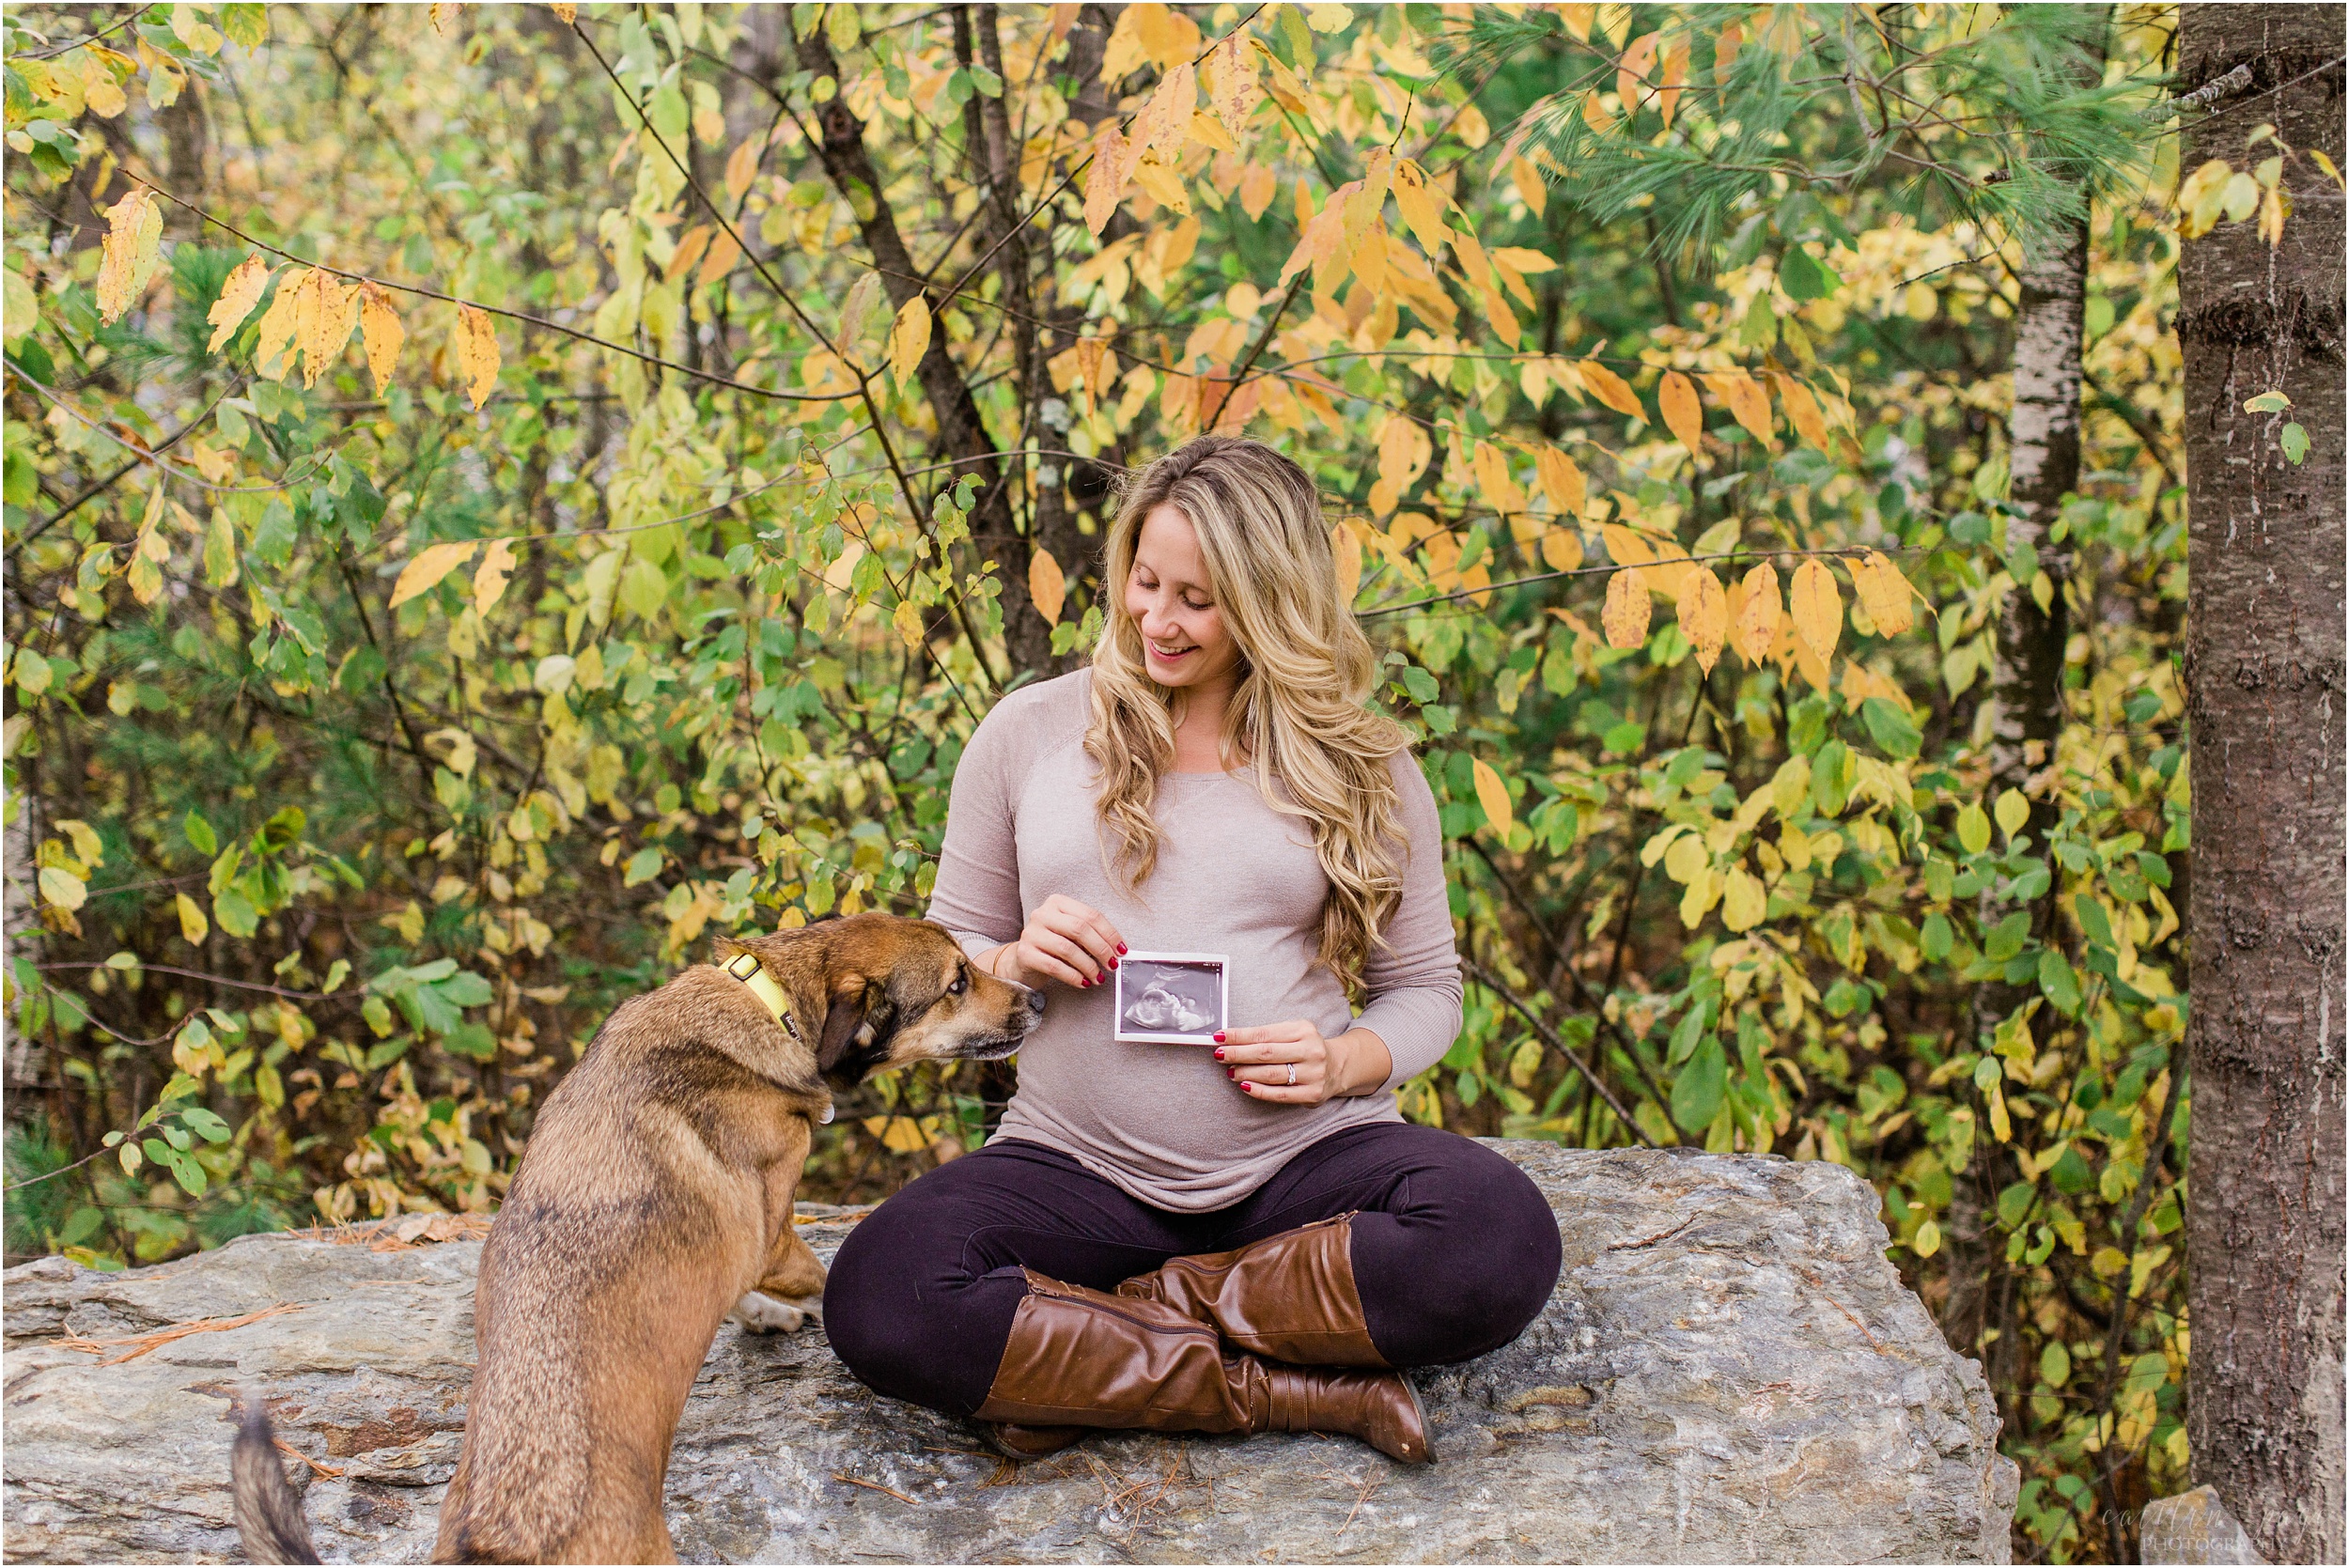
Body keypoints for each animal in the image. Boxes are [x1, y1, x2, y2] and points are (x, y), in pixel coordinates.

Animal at [233, 910, 1043, 1559]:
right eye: (957, 982)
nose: (1037, 997)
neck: (768, 1002)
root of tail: (498, 1535)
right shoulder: (775, 1230)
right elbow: (816, 1273)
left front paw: (761, 1313)